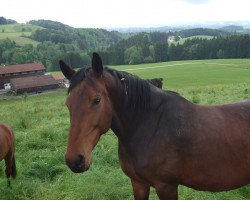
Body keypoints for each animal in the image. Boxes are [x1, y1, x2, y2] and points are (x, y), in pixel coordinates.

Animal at [59, 53, 250, 200]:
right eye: (68, 104)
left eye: (97, 100)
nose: (75, 160)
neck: (148, 126)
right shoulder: (138, 183)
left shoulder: (166, 187)